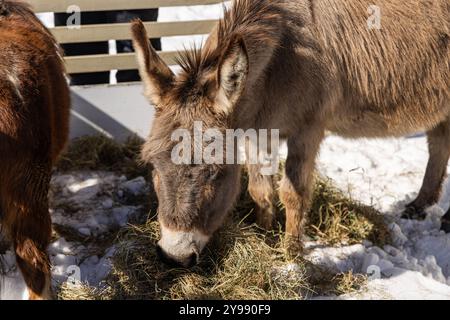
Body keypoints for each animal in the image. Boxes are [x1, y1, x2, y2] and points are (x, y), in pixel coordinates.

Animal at [132, 0, 448, 266]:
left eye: (214, 172)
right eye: (153, 165)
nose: (174, 256)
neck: (282, 59)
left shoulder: (308, 129)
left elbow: (293, 192)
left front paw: (291, 255)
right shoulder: (256, 131)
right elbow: (259, 189)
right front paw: (264, 233)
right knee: (439, 145)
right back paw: (421, 206)